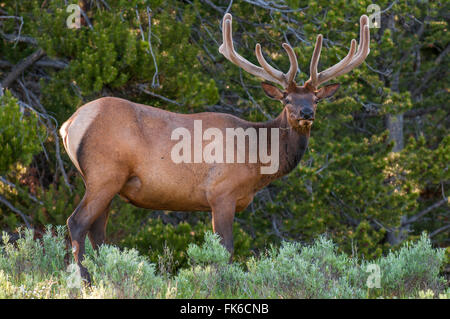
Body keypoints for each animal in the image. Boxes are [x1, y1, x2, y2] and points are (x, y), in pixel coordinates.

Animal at [59, 13, 370, 282]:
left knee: (97, 231)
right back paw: (85, 280)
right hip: (104, 173)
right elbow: (225, 251)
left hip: (107, 181)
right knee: (77, 222)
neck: (257, 160)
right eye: (286, 99)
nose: (306, 113)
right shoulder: (222, 192)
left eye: (316, 99)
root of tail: (70, 123)